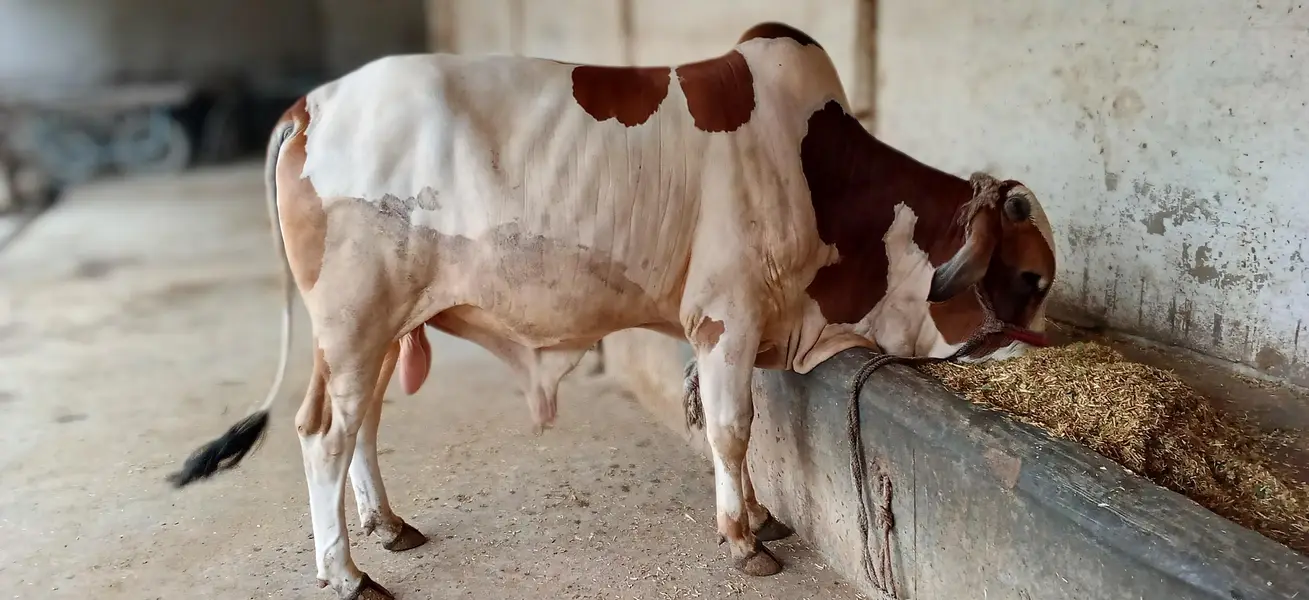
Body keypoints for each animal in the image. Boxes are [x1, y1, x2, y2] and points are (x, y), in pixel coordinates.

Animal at [168, 22, 1056, 600]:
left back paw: (387, 525)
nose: (1048, 347)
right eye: (1033, 278)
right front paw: (743, 538)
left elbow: (745, 430)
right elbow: (732, 430)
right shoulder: (726, 318)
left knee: (363, 426)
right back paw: (348, 573)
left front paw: (759, 518)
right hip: (355, 320)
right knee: (324, 433)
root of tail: (311, 105)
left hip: (381, 328)